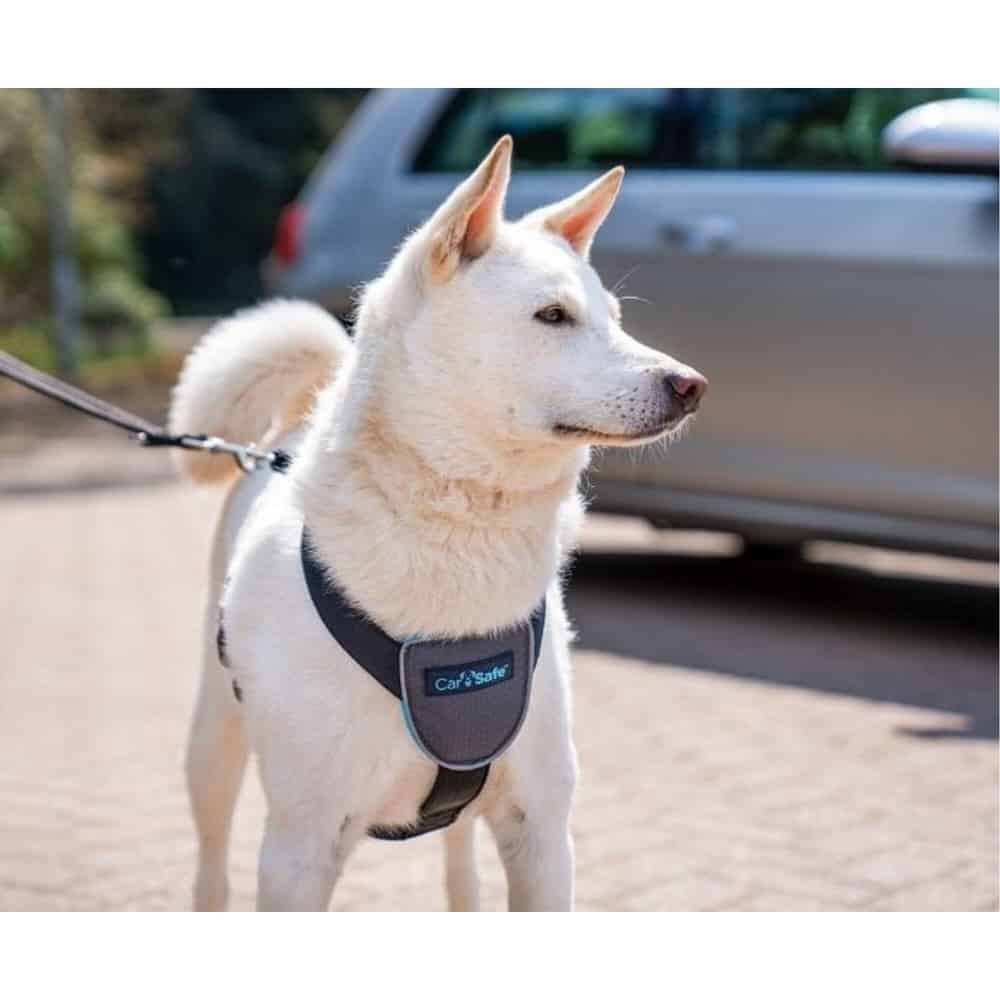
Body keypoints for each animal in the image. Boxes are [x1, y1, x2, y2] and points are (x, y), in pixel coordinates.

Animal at [169, 135, 707, 911]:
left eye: (614, 316)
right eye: (553, 316)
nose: (691, 386)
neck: (461, 537)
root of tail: (297, 420)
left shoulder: (542, 833)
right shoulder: (301, 845)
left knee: (459, 861)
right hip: (213, 742)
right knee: (210, 863)